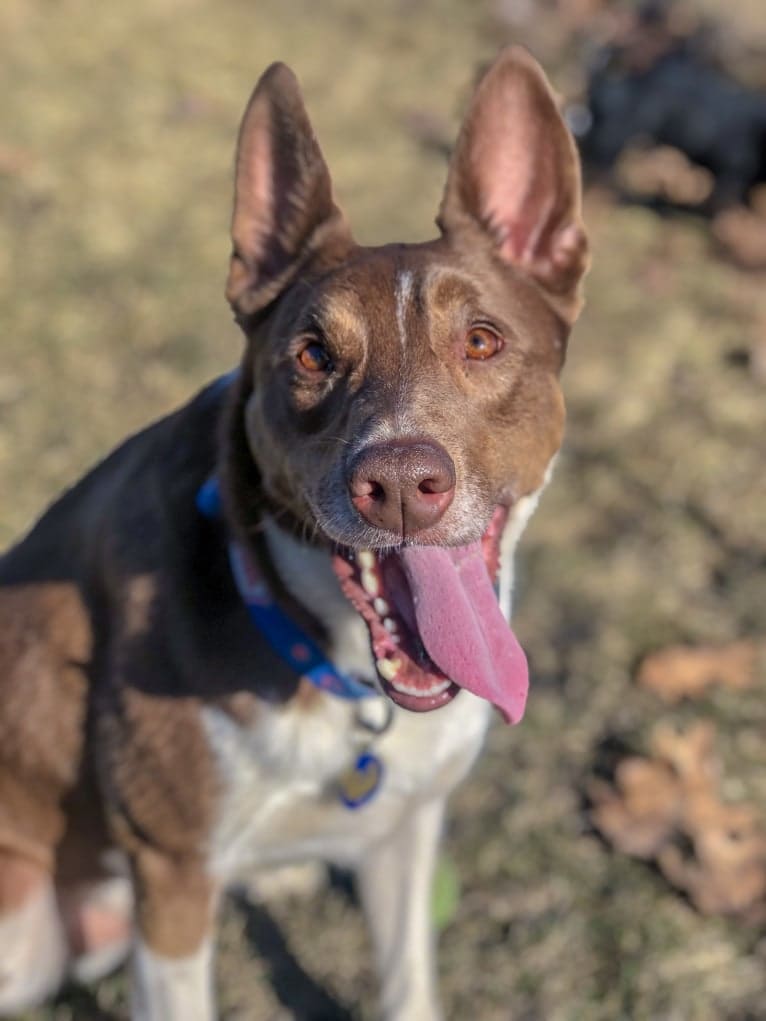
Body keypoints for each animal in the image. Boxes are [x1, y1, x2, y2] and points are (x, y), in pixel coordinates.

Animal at [0, 47, 588, 1021]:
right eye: (312, 355)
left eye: (482, 341)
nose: (400, 486)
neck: (344, 675)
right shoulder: (172, 879)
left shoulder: (406, 830)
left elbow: (407, 983)